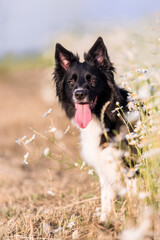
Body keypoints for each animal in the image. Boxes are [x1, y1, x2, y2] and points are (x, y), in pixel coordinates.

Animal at [53, 36, 139, 222]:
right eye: (71, 82)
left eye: (92, 80)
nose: (79, 94)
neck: (105, 116)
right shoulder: (105, 164)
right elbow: (106, 199)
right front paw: (104, 223)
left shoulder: (130, 164)